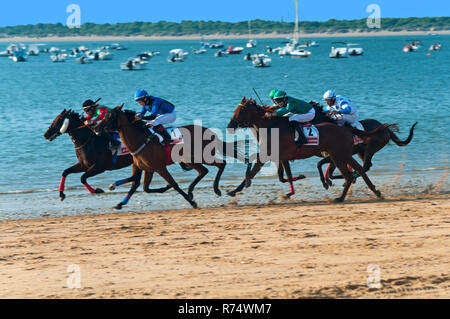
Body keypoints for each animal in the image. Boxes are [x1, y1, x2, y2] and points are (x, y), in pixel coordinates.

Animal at [227, 97, 388, 202]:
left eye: (242, 109)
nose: (230, 126)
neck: (272, 126)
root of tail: (347, 129)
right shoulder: (280, 156)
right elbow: (283, 176)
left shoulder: (269, 155)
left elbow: (254, 172)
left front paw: (238, 188)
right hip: (345, 155)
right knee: (360, 169)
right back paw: (376, 192)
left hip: (338, 156)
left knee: (349, 175)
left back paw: (340, 197)